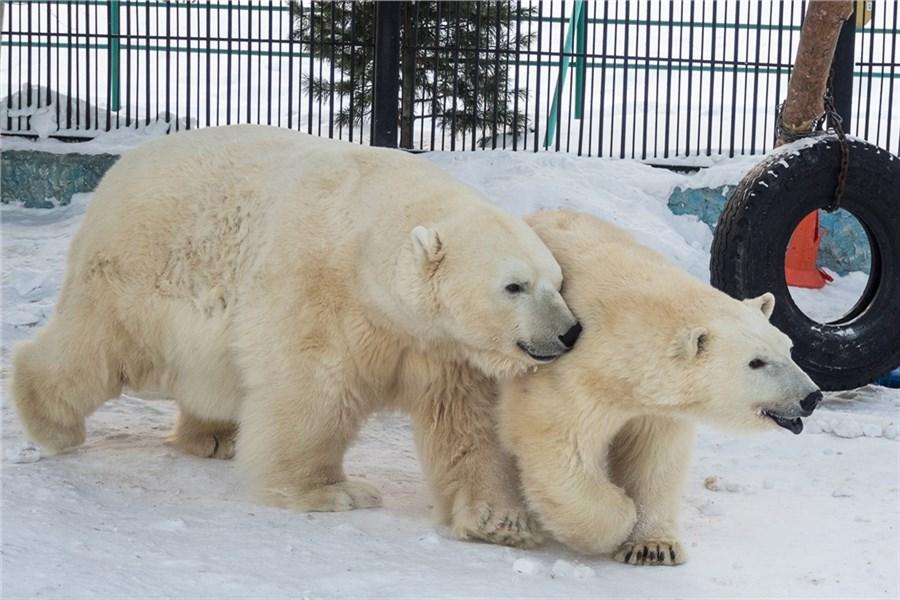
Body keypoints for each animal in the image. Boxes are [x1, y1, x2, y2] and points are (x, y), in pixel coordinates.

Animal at [14, 126, 580, 548]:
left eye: (556, 282)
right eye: (514, 285)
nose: (570, 332)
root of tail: (116, 173)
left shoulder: (441, 347)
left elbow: (468, 423)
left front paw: (501, 522)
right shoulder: (323, 295)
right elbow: (313, 393)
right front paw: (334, 493)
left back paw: (215, 436)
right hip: (138, 274)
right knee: (96, 349)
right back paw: (48, 421)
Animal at [500, 212, 824, 568]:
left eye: (788, 348)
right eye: (756, 362)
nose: (811, 397)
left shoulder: (656, 408)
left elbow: (655, 459)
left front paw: (653, 546)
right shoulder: (570, 380)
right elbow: (559, 449)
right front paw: (619, 519)